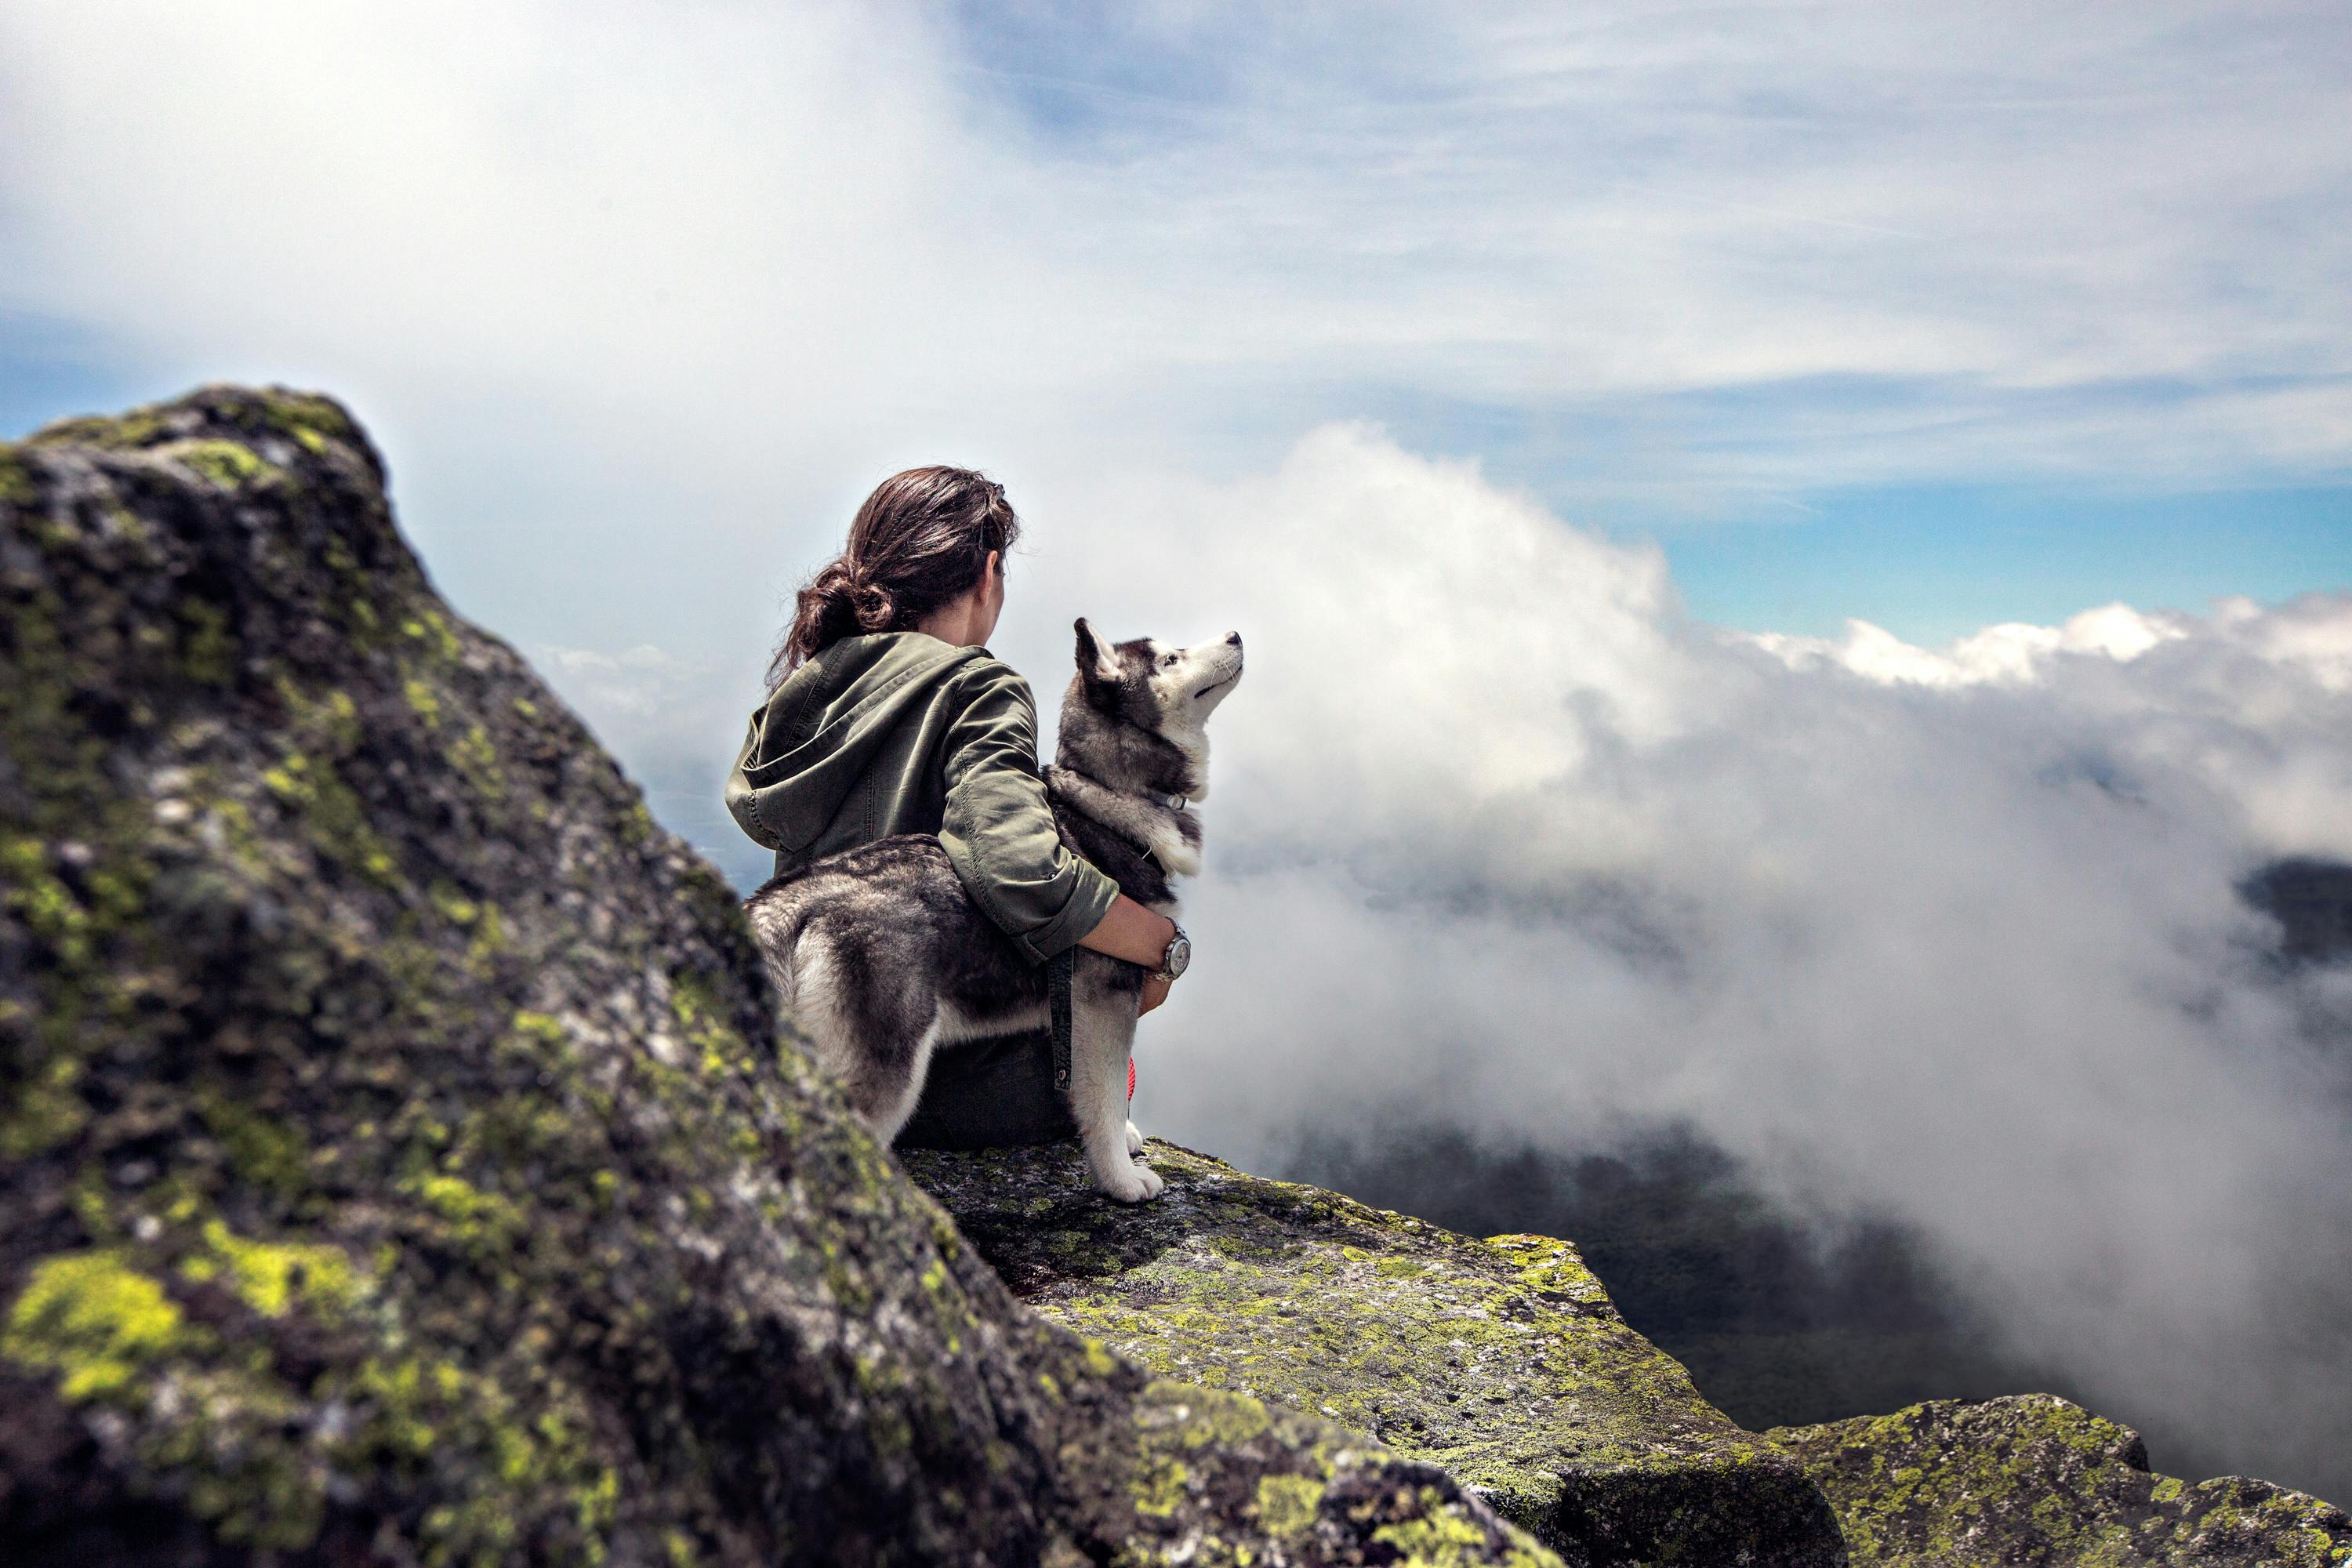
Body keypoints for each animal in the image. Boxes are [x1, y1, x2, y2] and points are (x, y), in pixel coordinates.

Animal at [743, 615, 1242, 1203]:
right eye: (1170, 659)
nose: (1236, 635)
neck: (1107, 797)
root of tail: (791, 899)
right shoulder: (1104, 1001)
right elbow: (1104, 1092)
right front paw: (1119, 1178)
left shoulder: (1073, 1017)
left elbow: (1096, 1090)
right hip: (885, 1069)